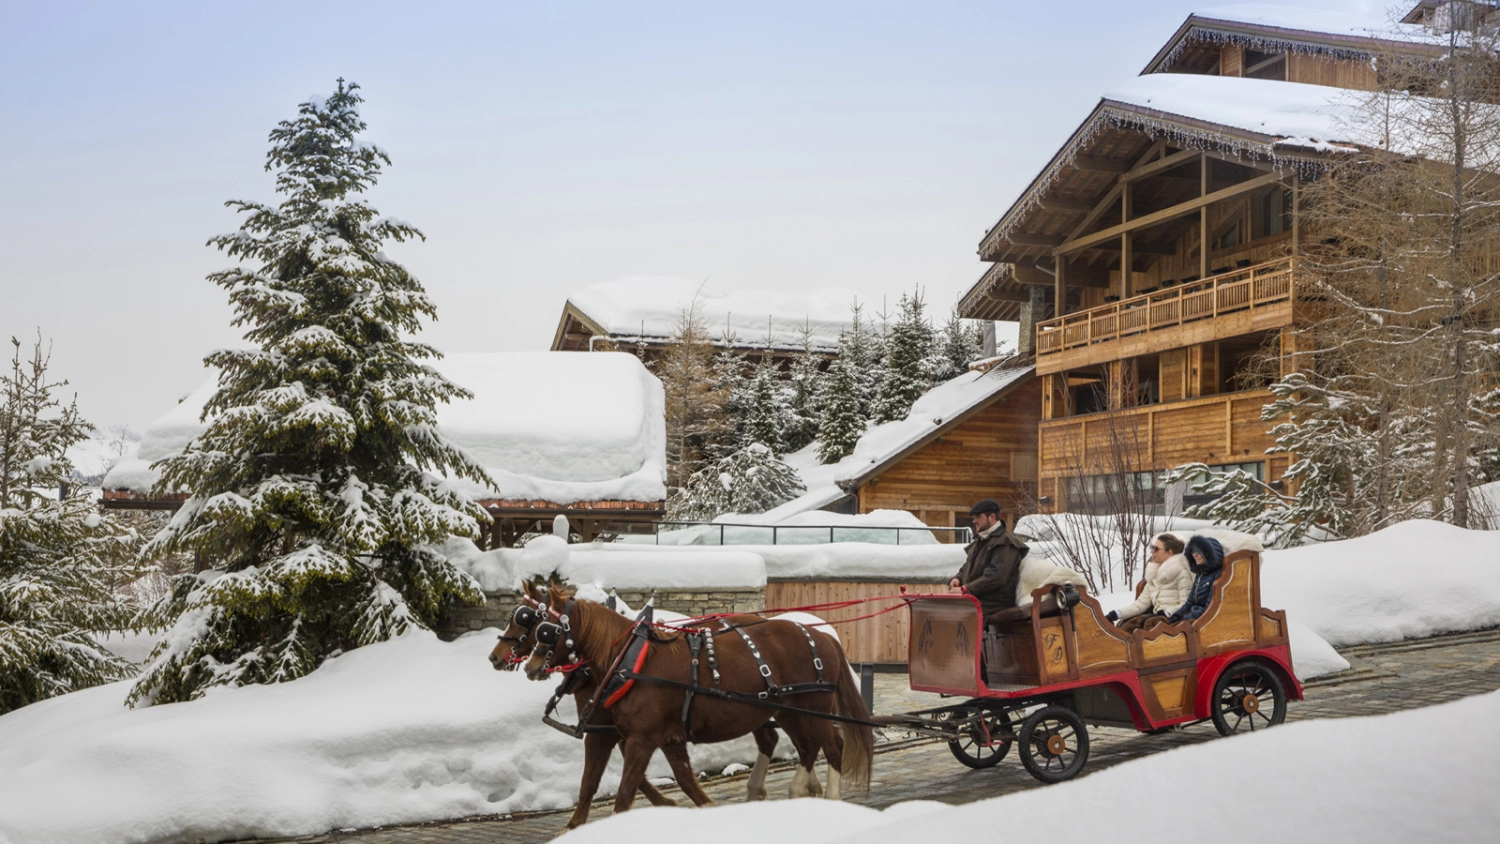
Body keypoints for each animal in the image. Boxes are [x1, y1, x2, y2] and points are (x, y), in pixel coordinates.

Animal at [489, 584, 780, 827]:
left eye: (527, 619)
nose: (495, 657)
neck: (617, 661)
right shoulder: (621, 730)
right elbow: (644, 777)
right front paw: (669, 802)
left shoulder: (613, 730)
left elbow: (614, 780)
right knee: (769, 738)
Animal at [531, 584, 876, 815]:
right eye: (529, 621)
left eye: (545, 629)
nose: (531, 666)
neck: (631, 662)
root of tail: (823, 636)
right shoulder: (659, 737)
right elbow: (677, 778)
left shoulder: (642, 738)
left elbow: (625, 792)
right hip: (788, 709)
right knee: (805, 746)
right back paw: (795, 792)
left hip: (812, 706)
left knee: (833, 746)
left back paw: (829, 798)